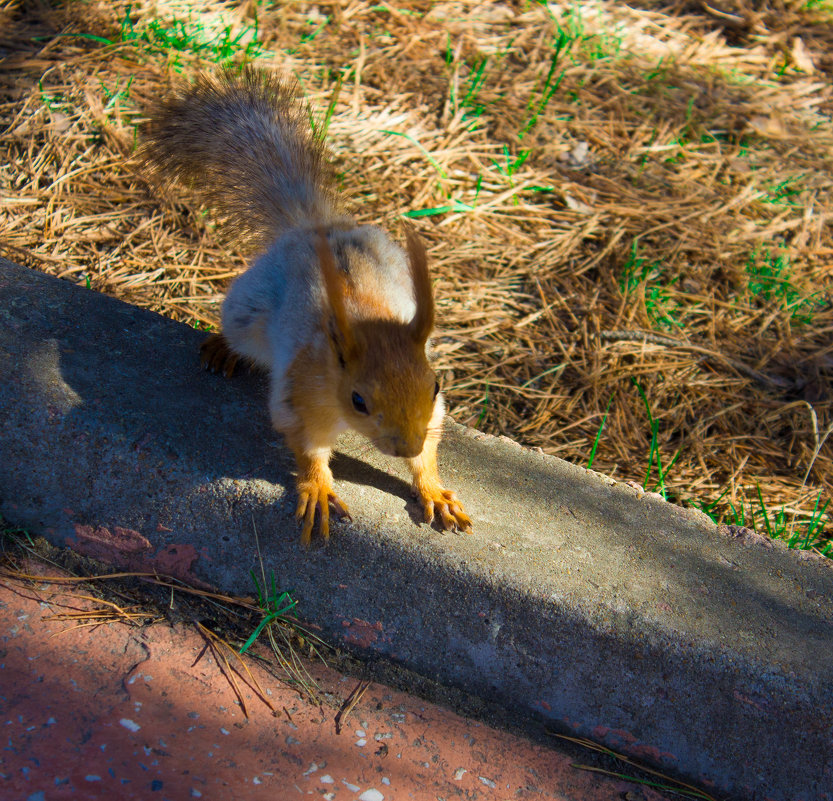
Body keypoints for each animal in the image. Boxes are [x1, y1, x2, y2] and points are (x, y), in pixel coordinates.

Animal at [140, 69, 472, 544]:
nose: (404, 445)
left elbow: (429, 450)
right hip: (247, 308)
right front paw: (317, 489)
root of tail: (314, 227)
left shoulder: (431, 412)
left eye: (436, 386)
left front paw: (432, 488)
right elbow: (308, 447)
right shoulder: (299, 396)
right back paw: (224, 347)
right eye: (358, 400)